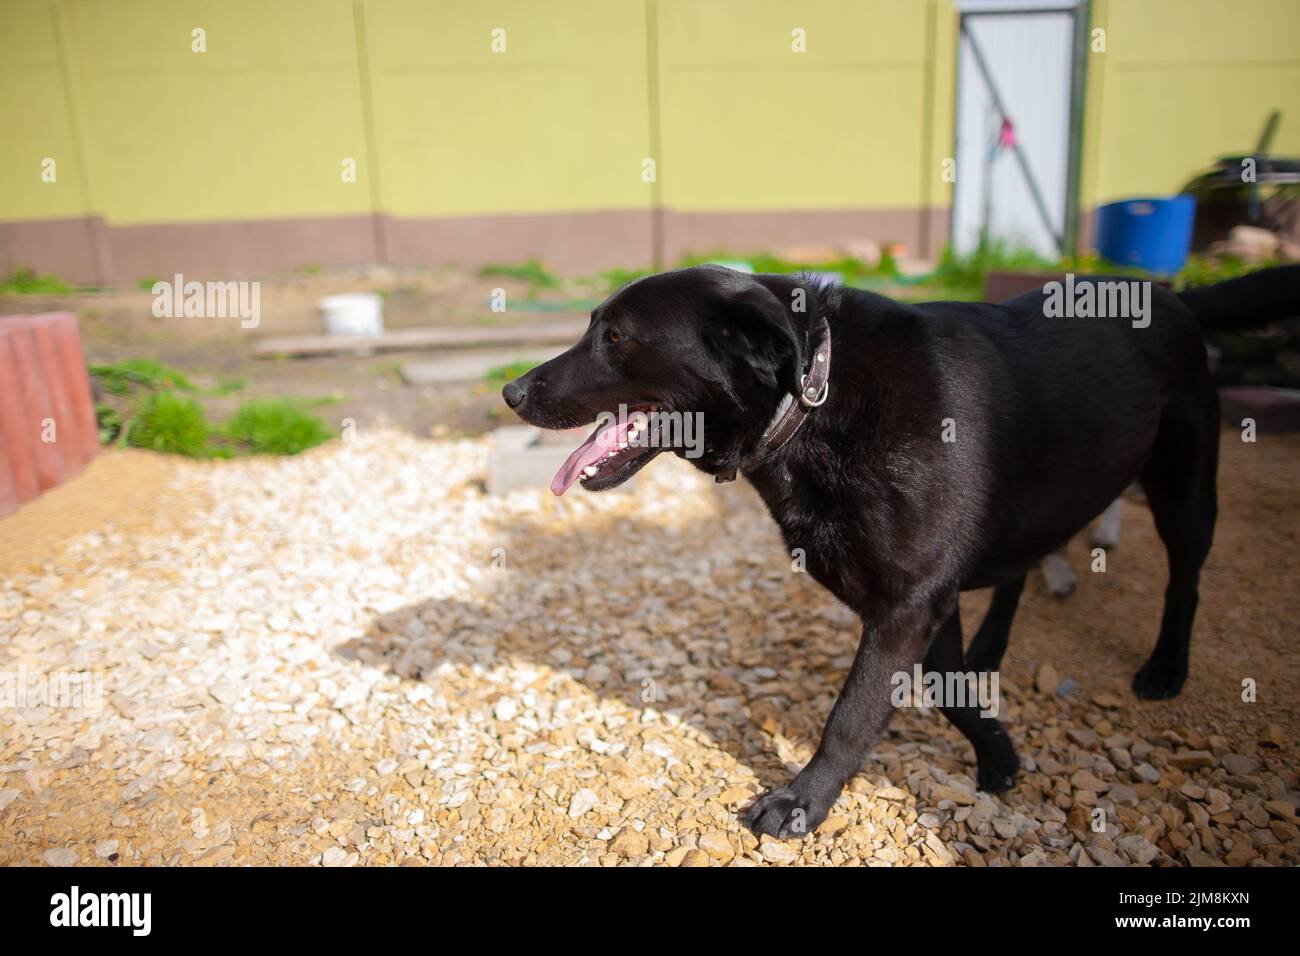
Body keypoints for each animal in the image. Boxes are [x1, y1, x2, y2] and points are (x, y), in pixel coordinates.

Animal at [501, 265, 1294, 842]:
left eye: (615, 336)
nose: (511, 390)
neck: (816, 398)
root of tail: (1174, 294)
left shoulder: (907, 606)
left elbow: (851, 716)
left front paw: (801, 802)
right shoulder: (918, 603)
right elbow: (949, 694)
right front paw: (1000, 756)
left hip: (1184, 489)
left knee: (1185, 580)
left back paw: (1166, 667)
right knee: (1020, 569)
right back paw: (997, 648)